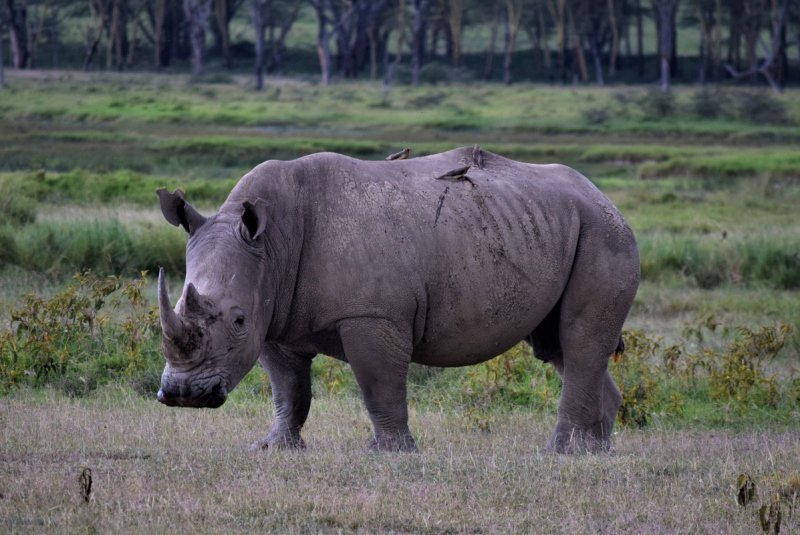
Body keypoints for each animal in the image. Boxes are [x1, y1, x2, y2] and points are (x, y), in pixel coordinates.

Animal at [155, 146, 639, 453]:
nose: (182, 395)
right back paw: (598, 451)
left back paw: (563, 452)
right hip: (559, 227)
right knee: (558, 346)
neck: (272, 244)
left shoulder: (372, 315)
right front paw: (273, 448)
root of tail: (605, 197)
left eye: (236, 321)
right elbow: (288, 389)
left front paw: (390, 452)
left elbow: (378, 383)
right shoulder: (274, 316)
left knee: (578, 341)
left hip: (604, 234)